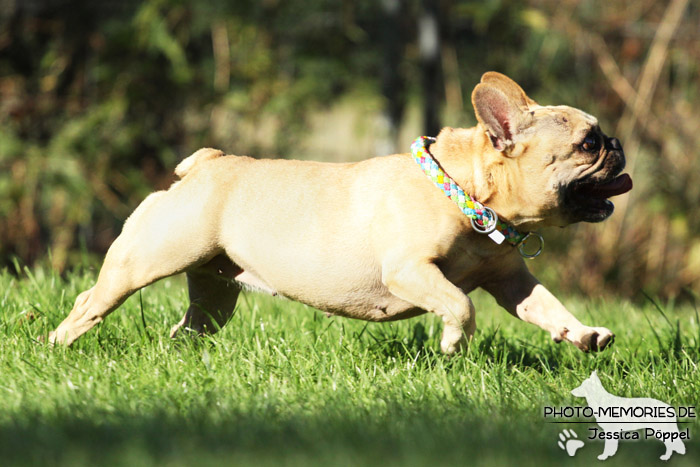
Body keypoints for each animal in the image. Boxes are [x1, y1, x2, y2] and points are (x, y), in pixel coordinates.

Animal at [47, 72, 628, 354]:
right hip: (145, 260)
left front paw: (583, 335)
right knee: (90, 302)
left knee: (190, 327)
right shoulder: (410, 271)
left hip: (215, 288)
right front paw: (452, 344)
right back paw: (58, 345)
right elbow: (460, 304)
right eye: (588, 143)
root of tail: (207, 163)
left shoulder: (510, 280)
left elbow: (545, 305)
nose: (619, 144)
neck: (466, 195)